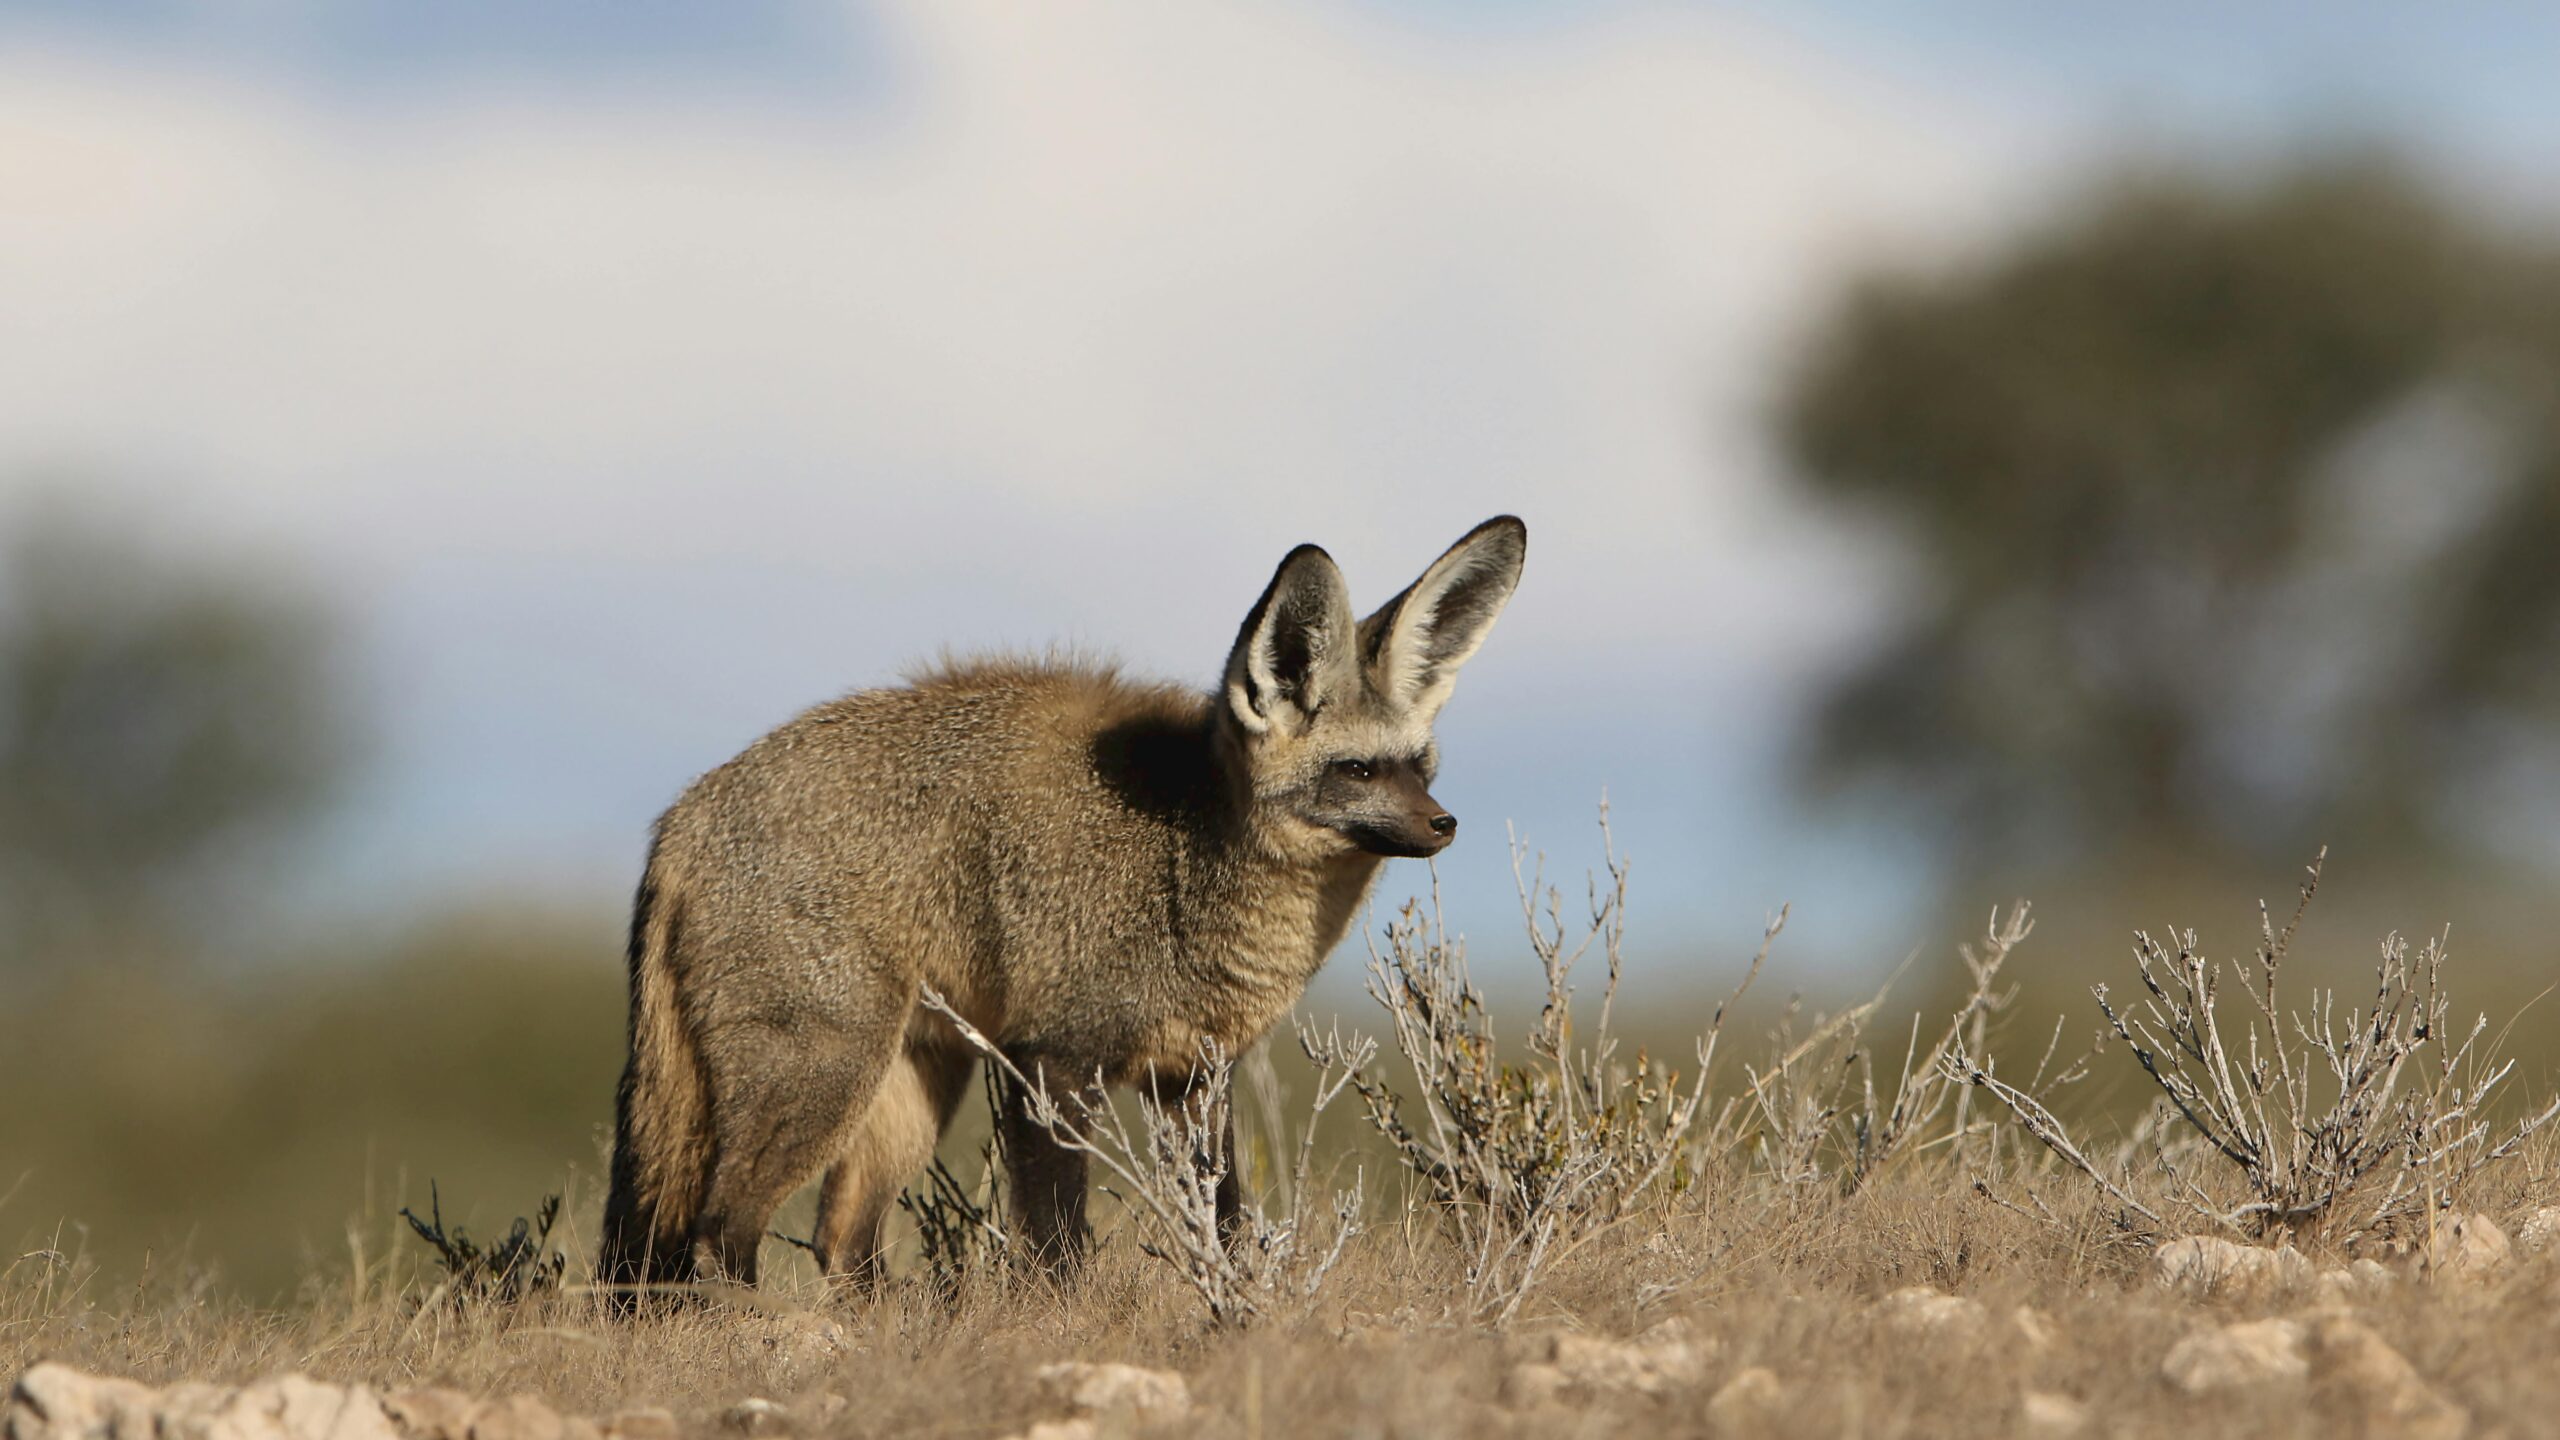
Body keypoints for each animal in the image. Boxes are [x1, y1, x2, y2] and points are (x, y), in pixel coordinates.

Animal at [596, 515, 1526, 1294]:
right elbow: (1059, 1250)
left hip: (909, 1089)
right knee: (719, 1236)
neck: (1184, 868)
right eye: (1358, 771)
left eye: (1420, 767)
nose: (1443, 825)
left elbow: (1226, 1233)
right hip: (824, 1075)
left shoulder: (1195, 1076)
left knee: (841, 1247)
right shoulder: (1049, 1057)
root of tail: (681, 816)